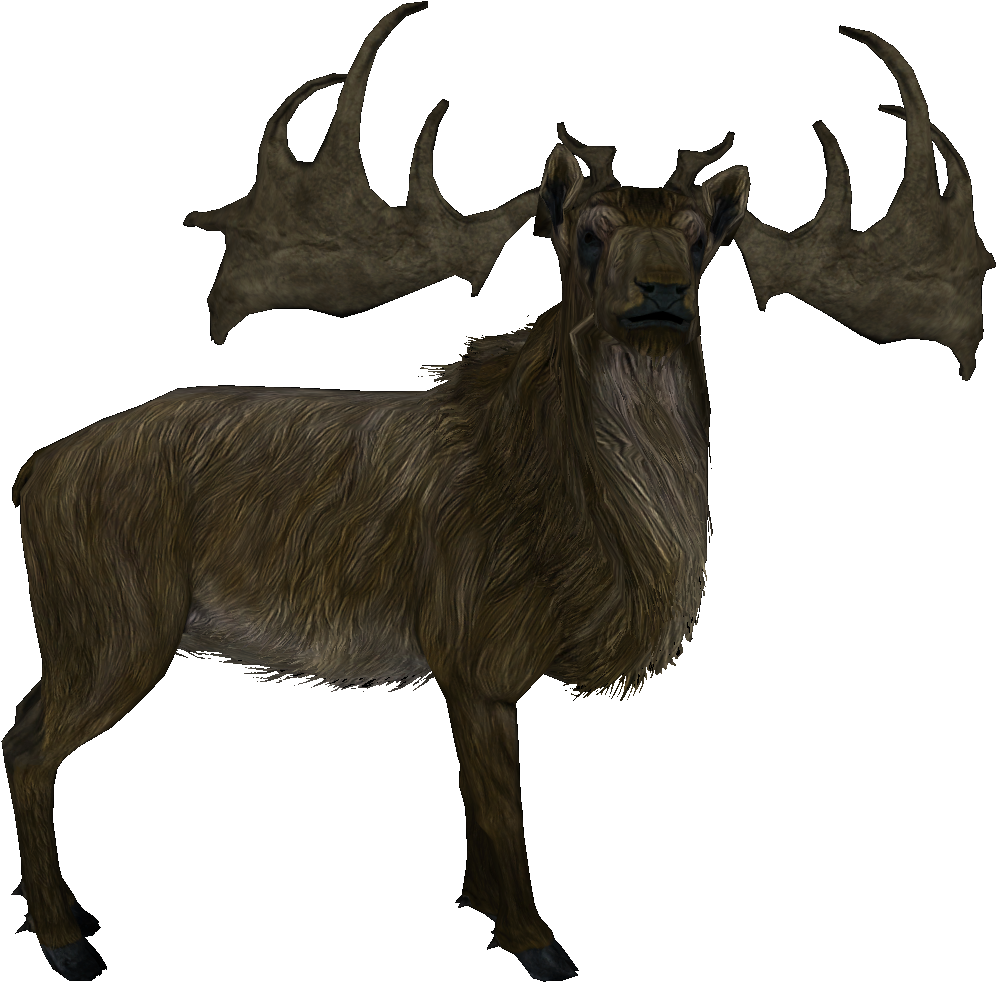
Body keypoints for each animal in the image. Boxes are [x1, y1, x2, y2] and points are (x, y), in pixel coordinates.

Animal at [5, 4, 990, 981]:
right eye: (588, 231)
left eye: (701, 236)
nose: (663, 289)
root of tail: (31, 474)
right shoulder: (474, 648)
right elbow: (498, 806)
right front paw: (535, 941)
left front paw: (485, 912)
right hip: (115, 622)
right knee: (26, 746)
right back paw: (63, 941)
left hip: (88, 630)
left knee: (20, 720)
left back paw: (70, 914)